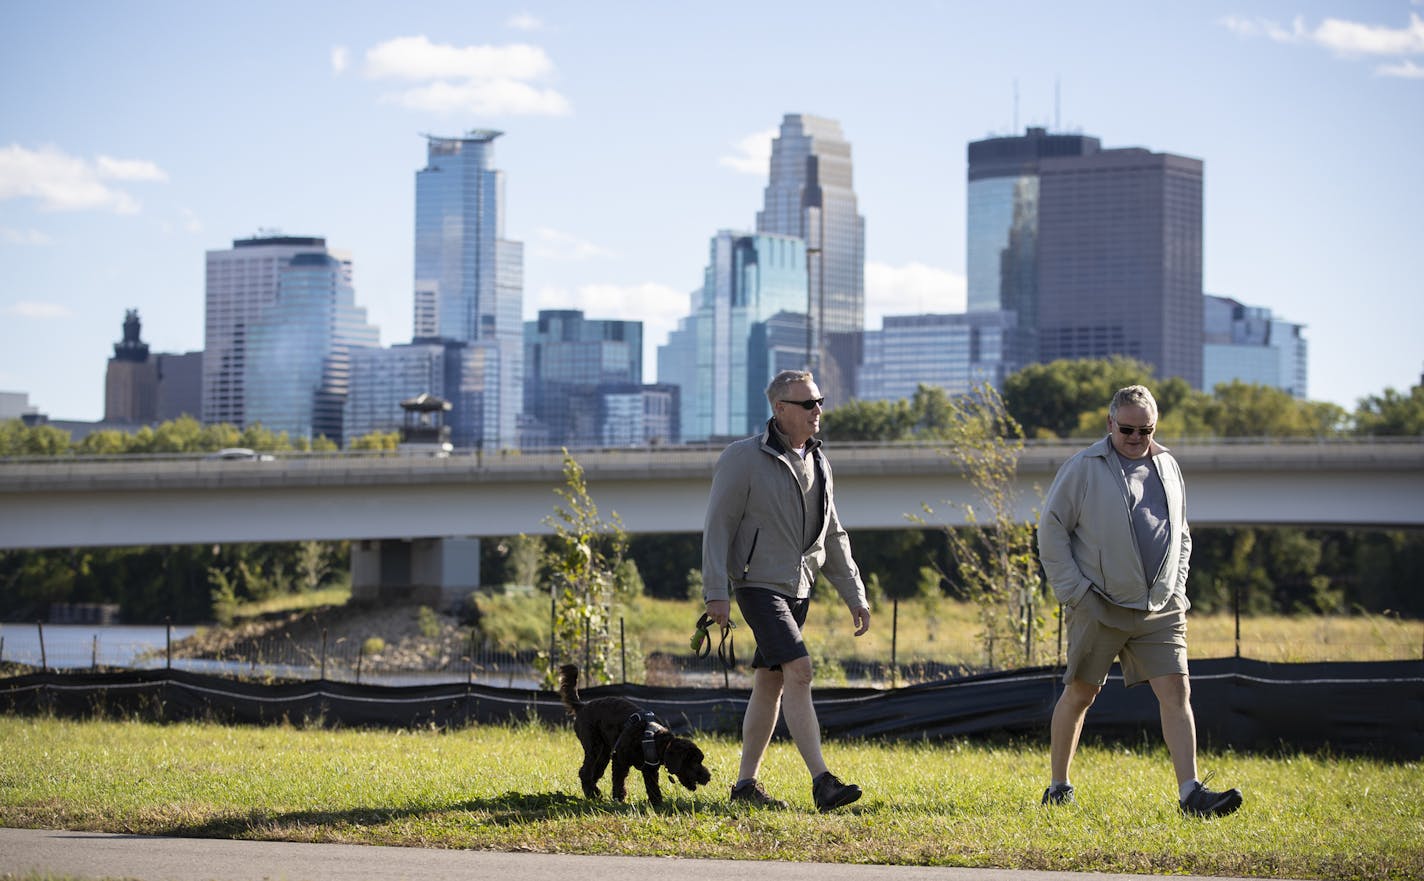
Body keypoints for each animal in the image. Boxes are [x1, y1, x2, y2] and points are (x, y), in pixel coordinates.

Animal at [555, 668, 712, 808]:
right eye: (694, 761)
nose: (708, 777)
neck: (654, 739)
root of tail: (582, 706)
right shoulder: (619, 760)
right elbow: (619, 781)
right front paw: (619, 799)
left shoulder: (649, 770)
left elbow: (653, 787)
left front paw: (657, 804)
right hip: (594, 747)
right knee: (585, 772)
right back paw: (593, 793)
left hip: (604, 754)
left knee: (592, 773)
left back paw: (592, 793)